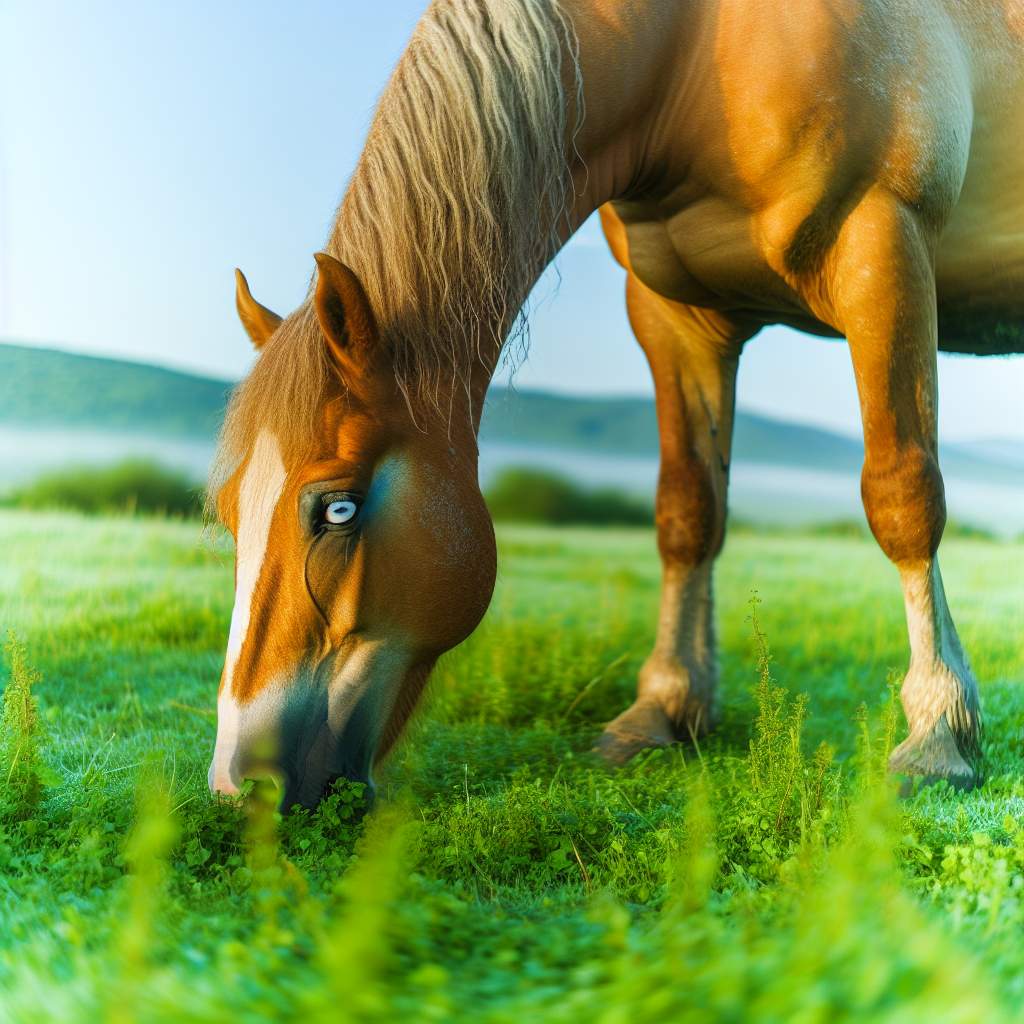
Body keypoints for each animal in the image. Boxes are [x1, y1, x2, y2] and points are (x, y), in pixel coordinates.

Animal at [208, 0, 1024, 809]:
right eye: (228, 512)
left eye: (338, 508)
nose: (239, 781)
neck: (697, 53)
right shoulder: (677, 316)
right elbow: (688, 515)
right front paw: (664, 708)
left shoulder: (880, 248)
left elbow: (902, 497)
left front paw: (940, 736)